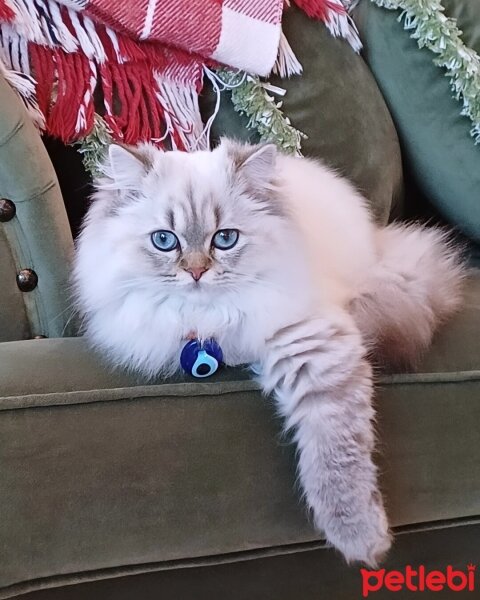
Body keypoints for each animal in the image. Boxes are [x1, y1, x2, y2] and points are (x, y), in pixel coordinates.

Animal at [73, 139, 466, 568]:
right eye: (164, 240)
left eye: (225, 239)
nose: (196, 272)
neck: (212, 321)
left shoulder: (312, 347)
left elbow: (337, 460)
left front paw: (361, 541)